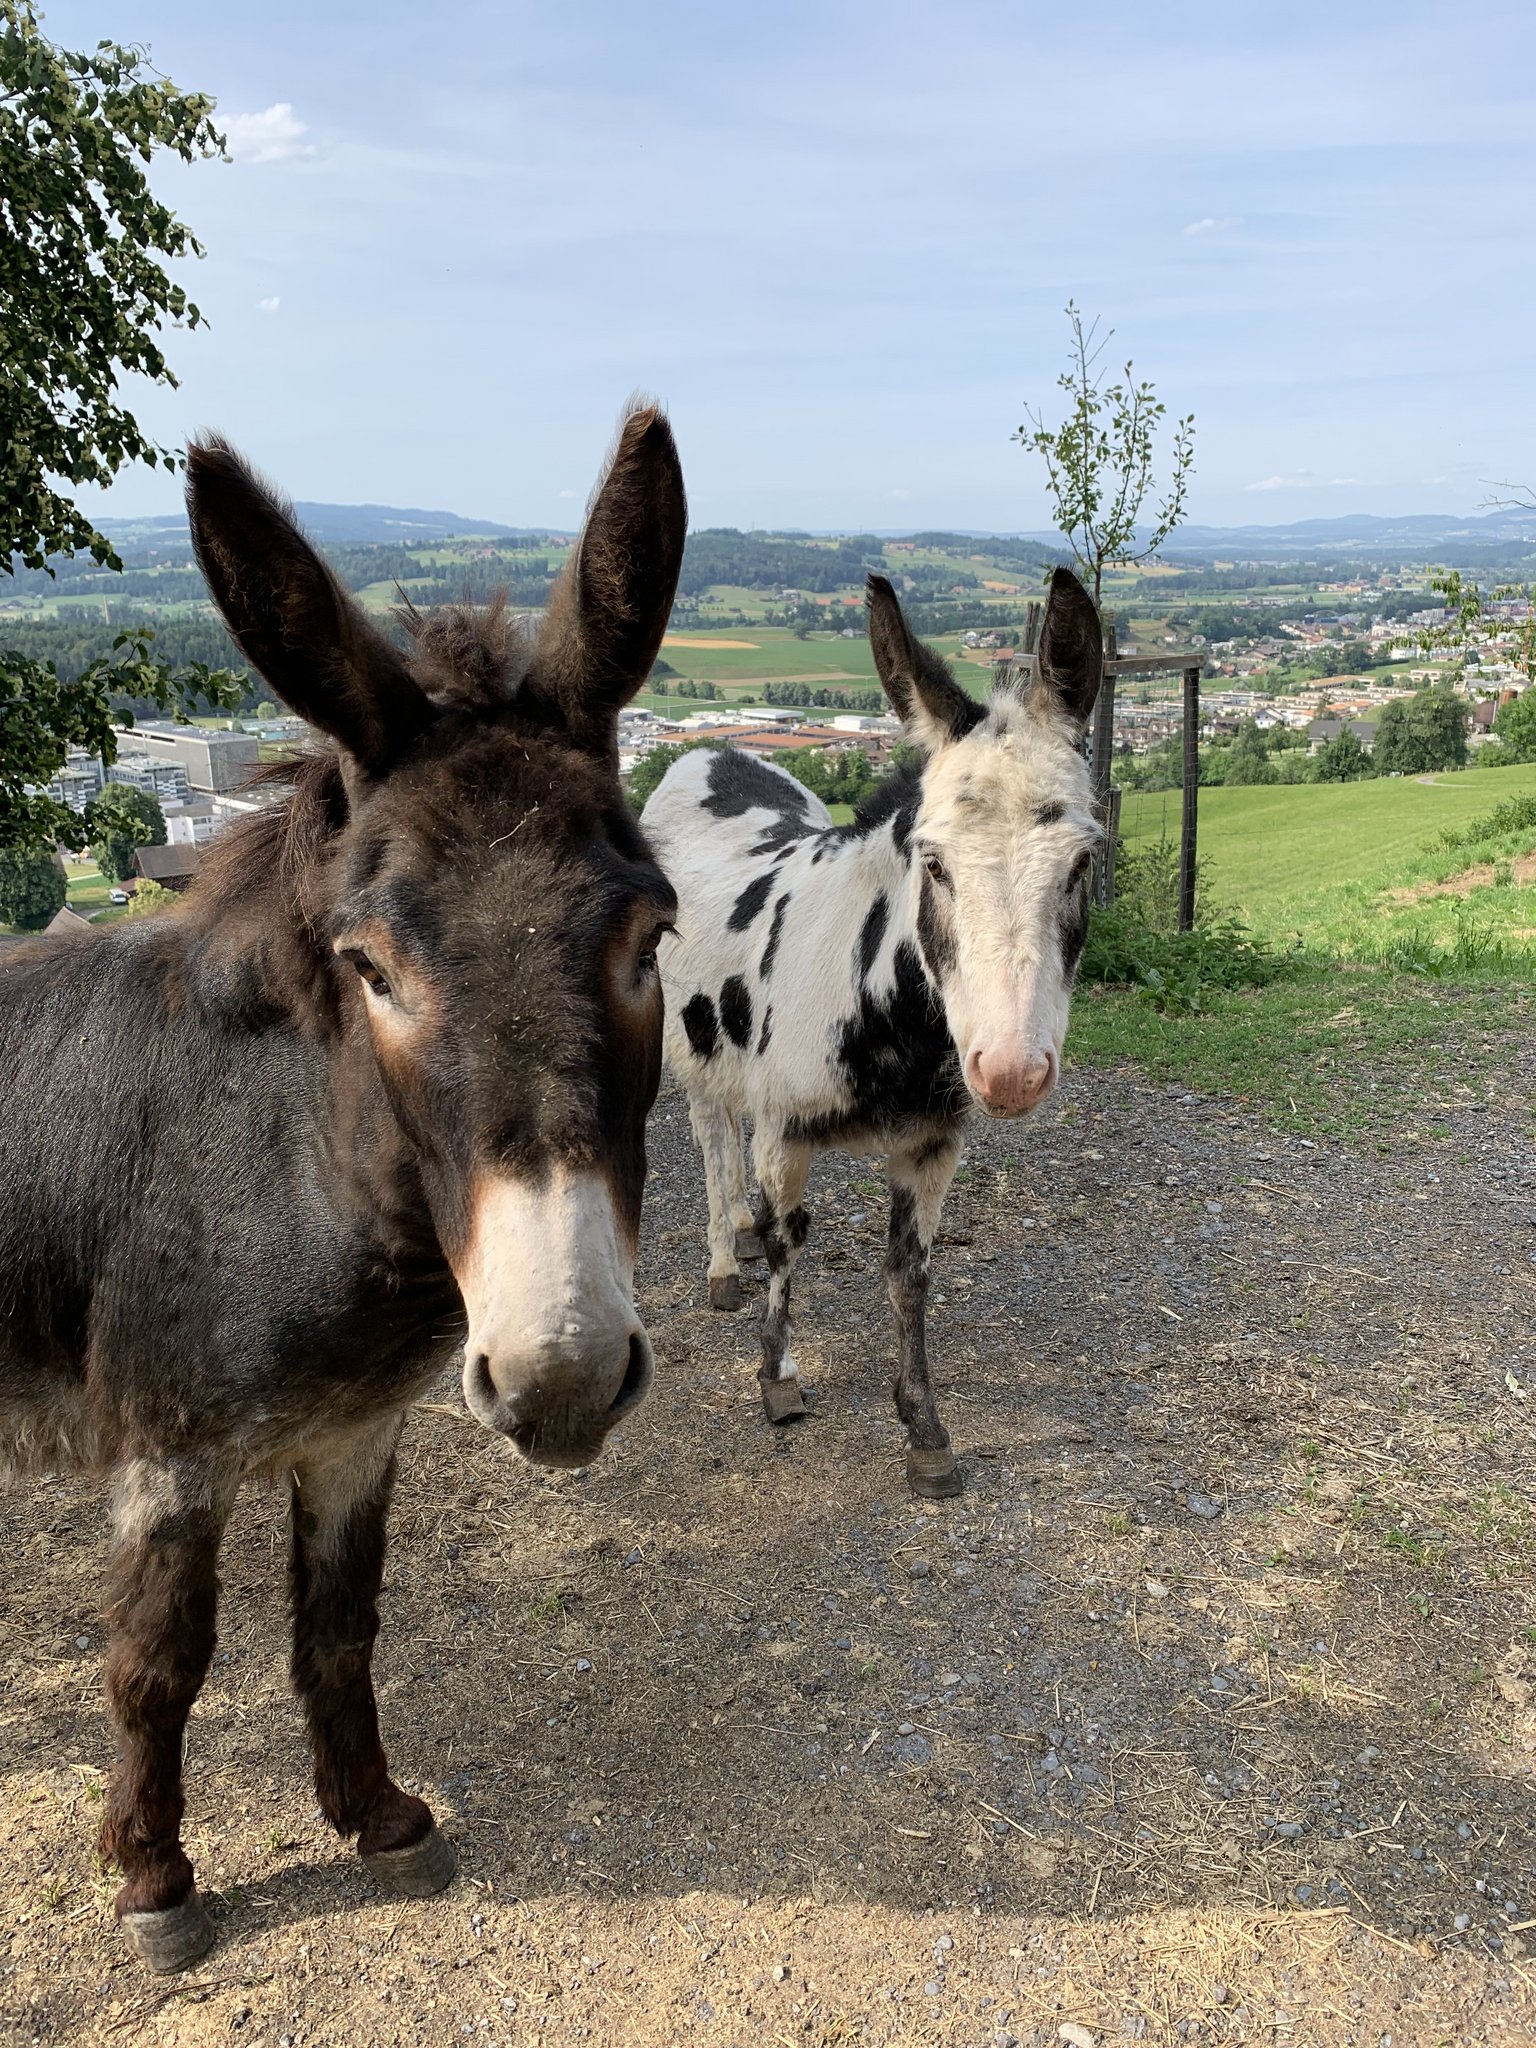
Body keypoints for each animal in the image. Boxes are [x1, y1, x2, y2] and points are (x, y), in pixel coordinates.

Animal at [0, 404, 686, 1972]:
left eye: (652, 939)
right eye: (370, 967)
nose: (562, 1373)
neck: (295, 1168)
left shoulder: (357, 1432)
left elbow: (340, 1628)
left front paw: (374, 1817)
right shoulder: (166, 1456)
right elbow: (156, 1665)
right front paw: (155, 1880)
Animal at [641, 567, 1102, 1499]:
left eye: (1082, 863)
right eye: (934, 863)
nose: (1010, 1074)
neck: (893, 1021)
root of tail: (710, 753)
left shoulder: (929, 1148)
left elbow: (909, 1275)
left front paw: (925, 1431)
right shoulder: (787, 1135)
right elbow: (789, 1243)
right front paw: (777, 1380)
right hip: (692, 1043)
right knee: (712, 1135)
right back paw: (722, 1261)